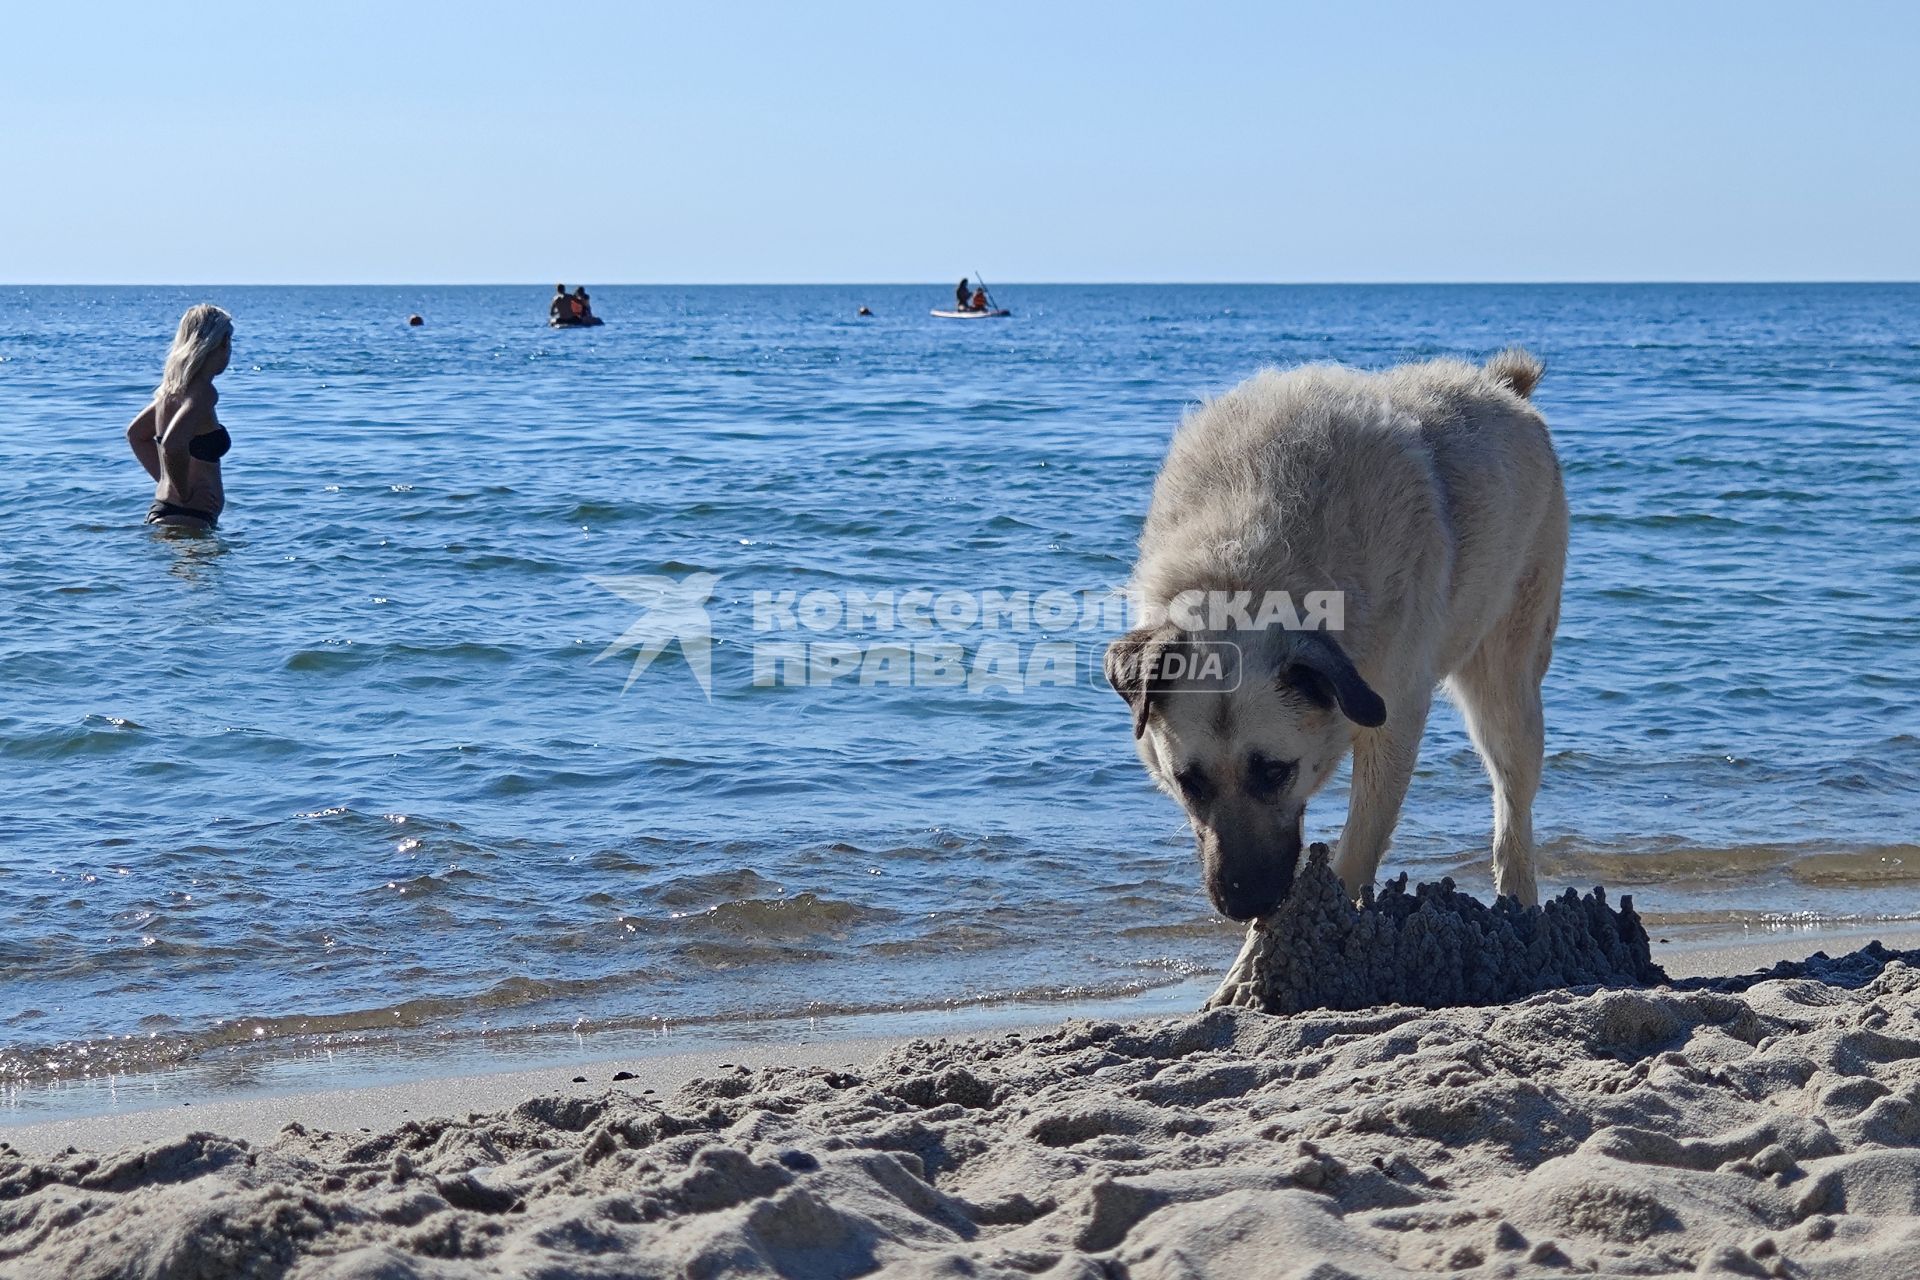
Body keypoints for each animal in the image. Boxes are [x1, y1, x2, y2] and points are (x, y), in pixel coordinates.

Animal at [1105, 353, 1566, 921]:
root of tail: (1504, 387)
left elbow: (1356, 852)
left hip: (1507, 689)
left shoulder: (1392, 724)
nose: (1243, 902)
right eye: (1188, 782)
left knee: (1512, 801)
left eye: (1274, 772)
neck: (1244, 575)